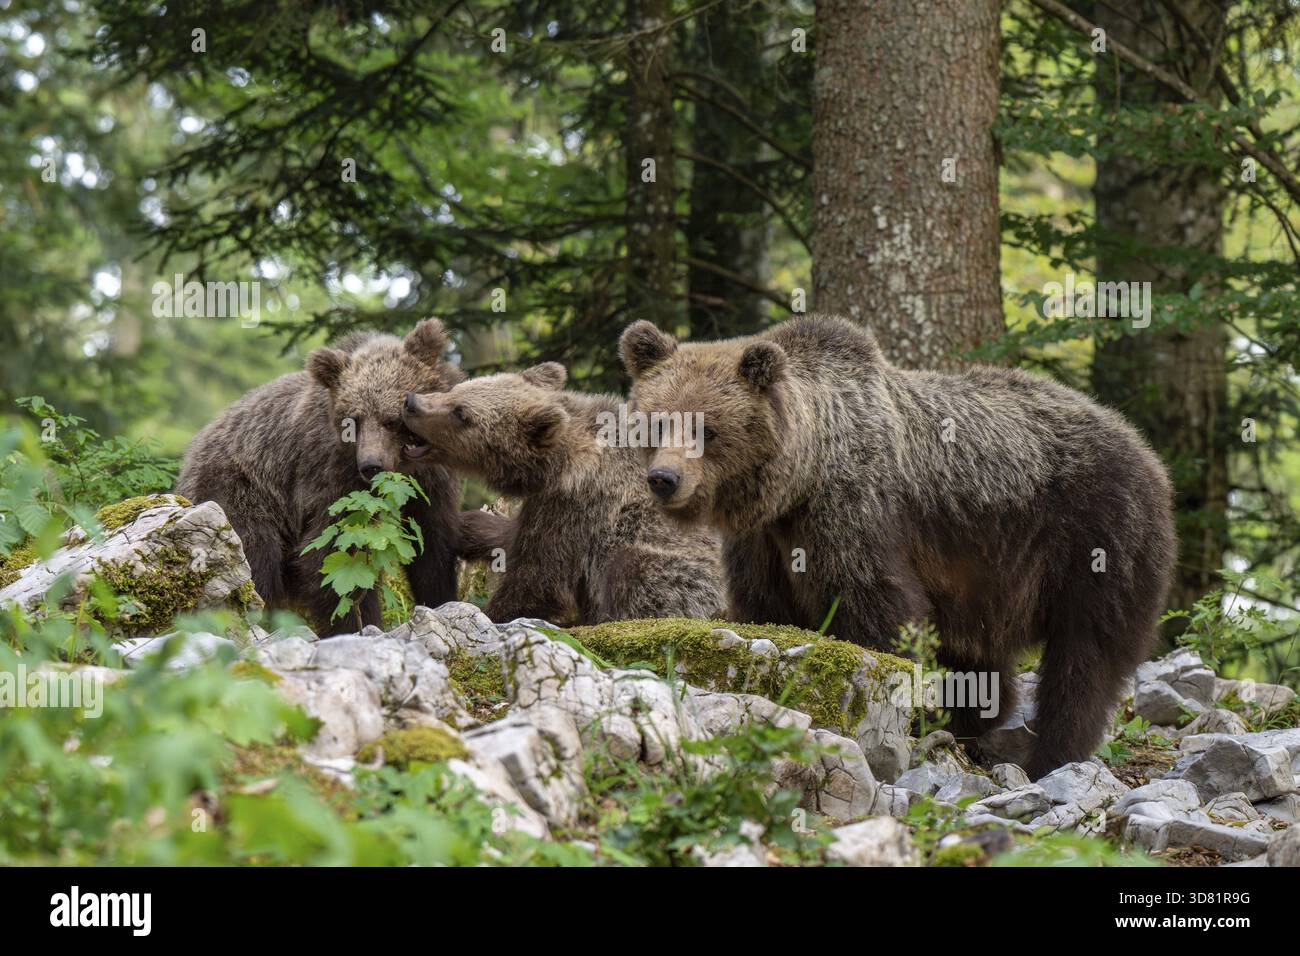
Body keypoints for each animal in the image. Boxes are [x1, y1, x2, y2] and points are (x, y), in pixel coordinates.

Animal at [177, 319, 463, 636]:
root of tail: (191, 453)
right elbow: (334, 557)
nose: (371, 465)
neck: (404, 470)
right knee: (253, 554)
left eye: (391, 419)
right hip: (239, 490)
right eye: (353, 420)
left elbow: (432, 547)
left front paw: (441, 600)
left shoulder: (431, 482)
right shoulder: (331, 478)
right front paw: (359, 624)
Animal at [400, 362, 724, 625]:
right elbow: (512, 538)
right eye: (457, 389)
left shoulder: (576, 504)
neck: (555, 464)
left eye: (461, 413)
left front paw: (487, 612)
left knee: (633, 571)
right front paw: (469, 526)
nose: (411, 402)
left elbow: (538, 577)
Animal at [619, 313, 1176, 779]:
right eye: (657, 421)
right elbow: (766, 608)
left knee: (1086, 655)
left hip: (1095, 535)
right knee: (982, 655)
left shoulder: (854, 512)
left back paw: (1050, 756)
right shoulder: (763, 542)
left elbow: (877, 608)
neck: (800, 480)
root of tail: (1145, 449)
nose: (664, 478)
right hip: (988, 575)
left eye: (708, 428)